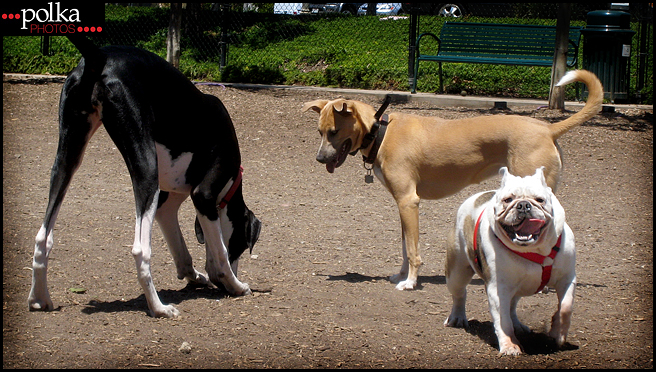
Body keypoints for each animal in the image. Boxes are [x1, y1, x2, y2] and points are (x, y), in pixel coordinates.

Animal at [26, 35, 262, 316]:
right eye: (242, 244)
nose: (232, 280)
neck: (230, 187)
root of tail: (99, 56)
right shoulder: (203, 196)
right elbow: (221, 254)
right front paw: (235, 284)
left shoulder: (167, 205)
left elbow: (184, 256)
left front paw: (198, 276)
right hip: (146, 171)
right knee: (141, 250)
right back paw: (159, 307)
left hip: (67, 158)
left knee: (43, 237)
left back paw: (39, 298)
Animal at [304, 70, 604, 290]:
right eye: (319, 131)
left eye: (333, 132)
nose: (319, 159)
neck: (380, 131)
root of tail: (548, 128)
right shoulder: (402, 205)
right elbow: (404, 246)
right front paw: (400, 276)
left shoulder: (409, 202)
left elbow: (412, 250)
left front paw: (410, 283)